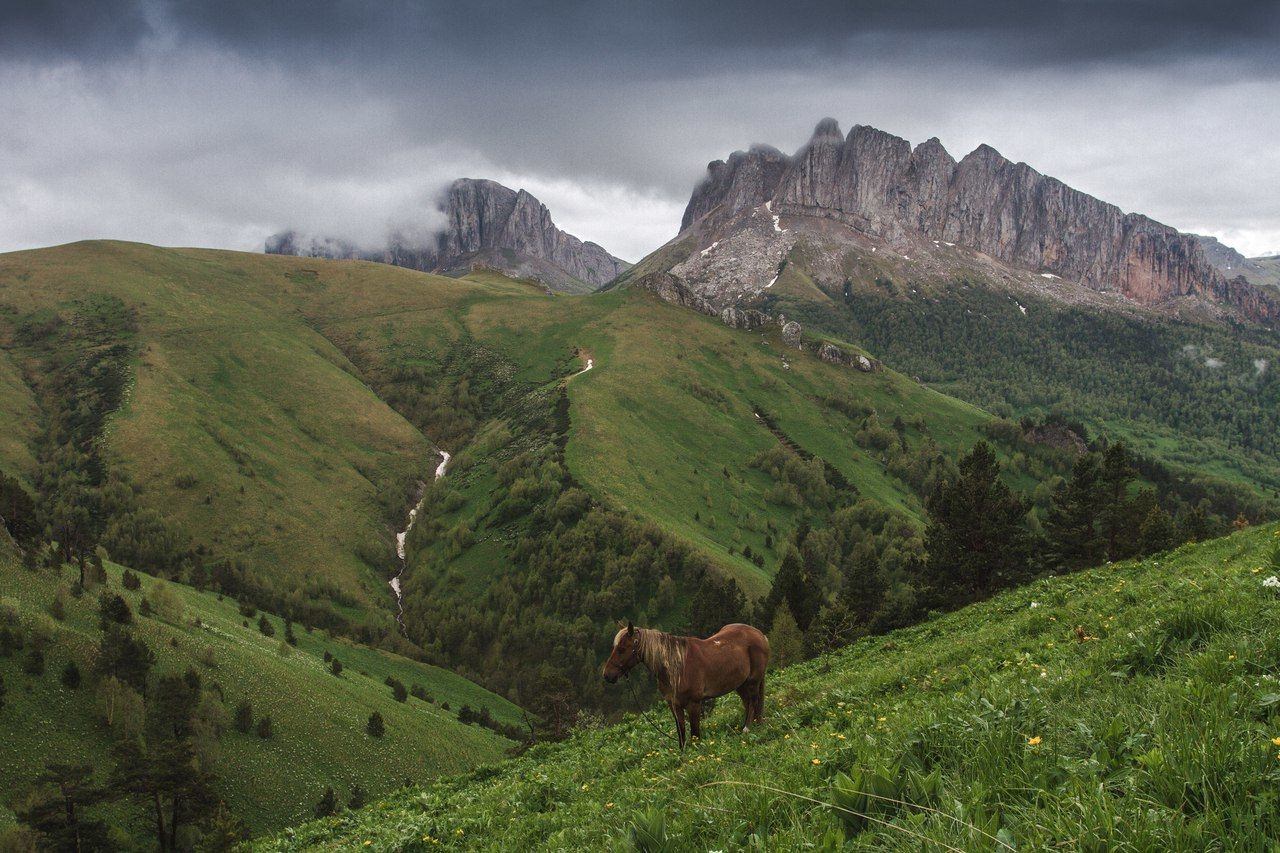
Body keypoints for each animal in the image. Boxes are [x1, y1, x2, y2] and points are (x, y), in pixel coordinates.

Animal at [601, 617, 768, 742]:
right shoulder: (674, 705)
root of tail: (759, 634)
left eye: (622, 649)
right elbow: (681, 734)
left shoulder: (694, 704)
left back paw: (747, 728)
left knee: (753, 701)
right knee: (748, 702)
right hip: (740, 684)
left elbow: (695, 733)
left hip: (753, 681)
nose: (607, 675)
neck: (677, 667)